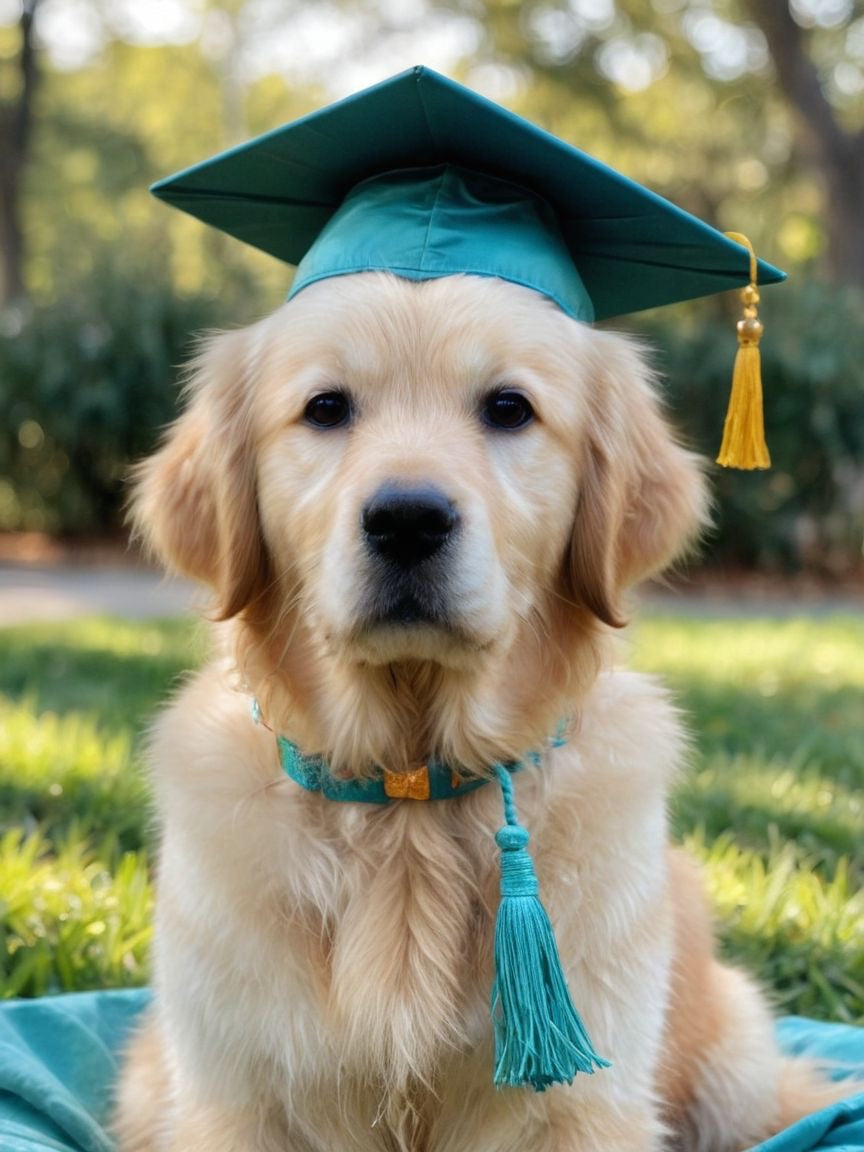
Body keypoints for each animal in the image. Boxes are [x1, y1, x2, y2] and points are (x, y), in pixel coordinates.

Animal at [113, 271, 847, 1152]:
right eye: (325, 408)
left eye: (508, 408)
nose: (408, 520)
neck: (409, 792)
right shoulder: (235, 1097)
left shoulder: (584, 1105)